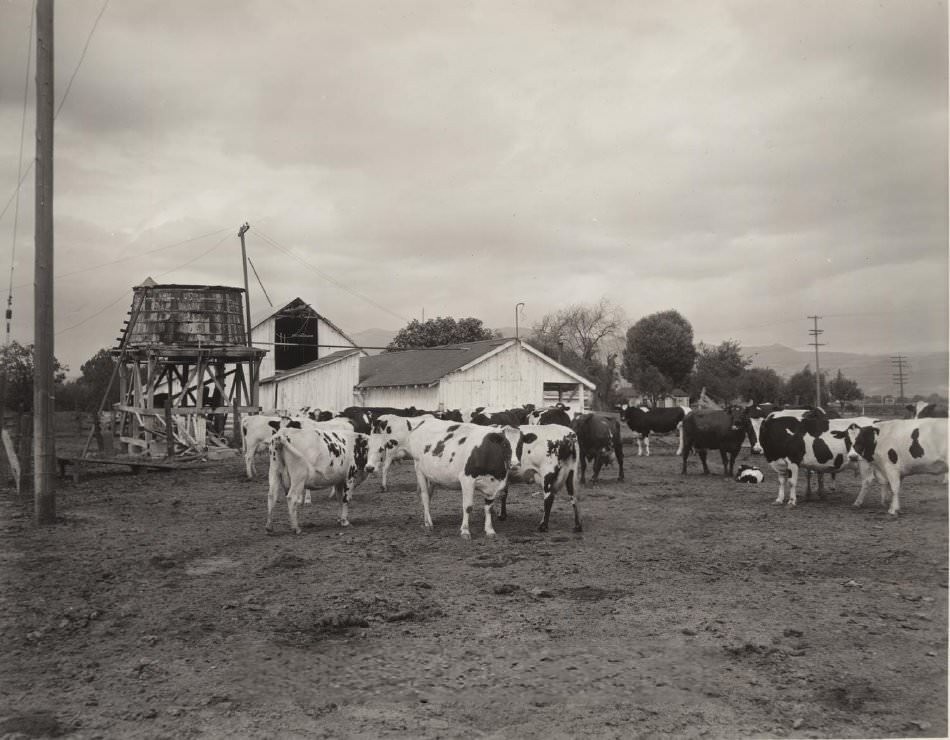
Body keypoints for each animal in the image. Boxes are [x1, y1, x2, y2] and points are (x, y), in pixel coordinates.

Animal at [366, 416, 512, 536]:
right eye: (506, 444)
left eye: (512, 446)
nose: (513, 463)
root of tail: (424, 421)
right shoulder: (467, 480)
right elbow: (468, 506)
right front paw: (465, 531)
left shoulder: (493, 485)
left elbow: (488, 508)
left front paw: (489, 530)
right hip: (418, 468)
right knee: (424, 496)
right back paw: (429, 524)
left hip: (432, 475)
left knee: (429, 496)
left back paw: (426, 520)